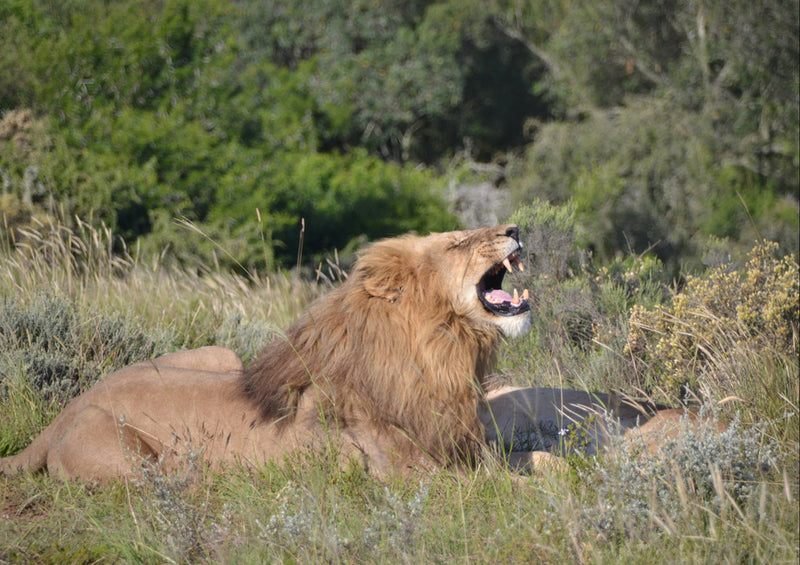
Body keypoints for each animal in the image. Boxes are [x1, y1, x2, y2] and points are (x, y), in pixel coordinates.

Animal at [3, 223, 536, 478]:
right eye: (457, 243)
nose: (514, 228)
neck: (445, 352)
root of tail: (68, 409)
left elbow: (533, 464)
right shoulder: (410, 473)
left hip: (221, 355)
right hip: (133, 460)